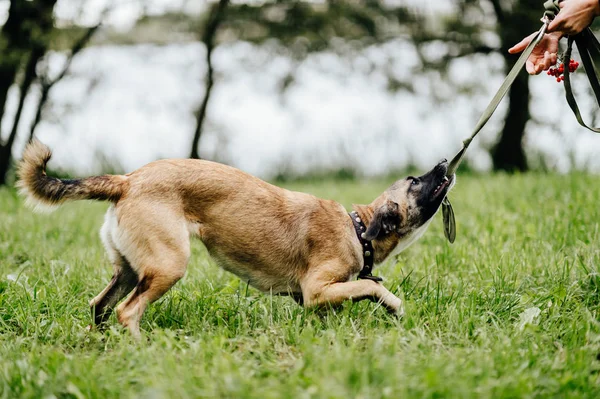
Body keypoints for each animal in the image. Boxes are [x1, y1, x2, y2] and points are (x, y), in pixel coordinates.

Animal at [17, 141, 454, 338]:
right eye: (415, 181)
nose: (444, 163)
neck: (357, 227)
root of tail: (128, 180)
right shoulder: (316, 289)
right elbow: (371, 287)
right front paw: (394, 305)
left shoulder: (318, 297)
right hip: (169, 264)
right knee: (128, 311)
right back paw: (140, 347)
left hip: (128, 269)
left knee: (101, 306)